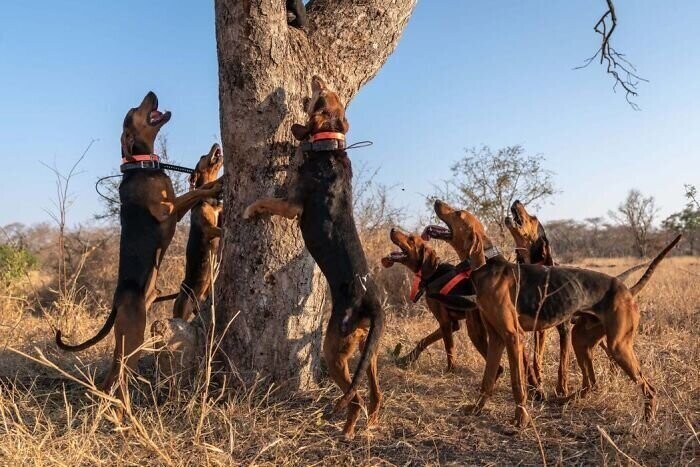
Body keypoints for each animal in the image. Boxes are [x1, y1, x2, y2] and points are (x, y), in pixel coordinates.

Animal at [56, 90, 223, 410]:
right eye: (134, 111)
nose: (151, 93)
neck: (142, 166)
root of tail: (117, 301)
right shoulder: (169, 210)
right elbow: (196, 191)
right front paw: (218, 184)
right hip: (134, 336)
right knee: (120, 377)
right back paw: (123, 411)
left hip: (126, 338)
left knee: (111, 377)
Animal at [243, 77, 386, 442]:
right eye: (329, 95)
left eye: (320, 97)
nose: (317, 79)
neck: (329, 145)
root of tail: (372, 302)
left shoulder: (291, 205)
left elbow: (266, 200)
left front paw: (251, 209)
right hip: (368, 351)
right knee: (375, 393)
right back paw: (371, 423)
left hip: (333, 350)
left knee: (354, 398)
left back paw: (346, 431)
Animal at [424, 199, 680, 426]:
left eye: (458, 213)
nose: (436, 201)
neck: (486, 265)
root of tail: (626, 289)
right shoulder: (496, 338)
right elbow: (487, 380)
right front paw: (477, 409)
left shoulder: (513, 337)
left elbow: (517, 384)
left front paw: (521, 419)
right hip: (581, 340)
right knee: (591, 382)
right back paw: (565, 400)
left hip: (618, 346)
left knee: (648, 388)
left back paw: (647, 420)